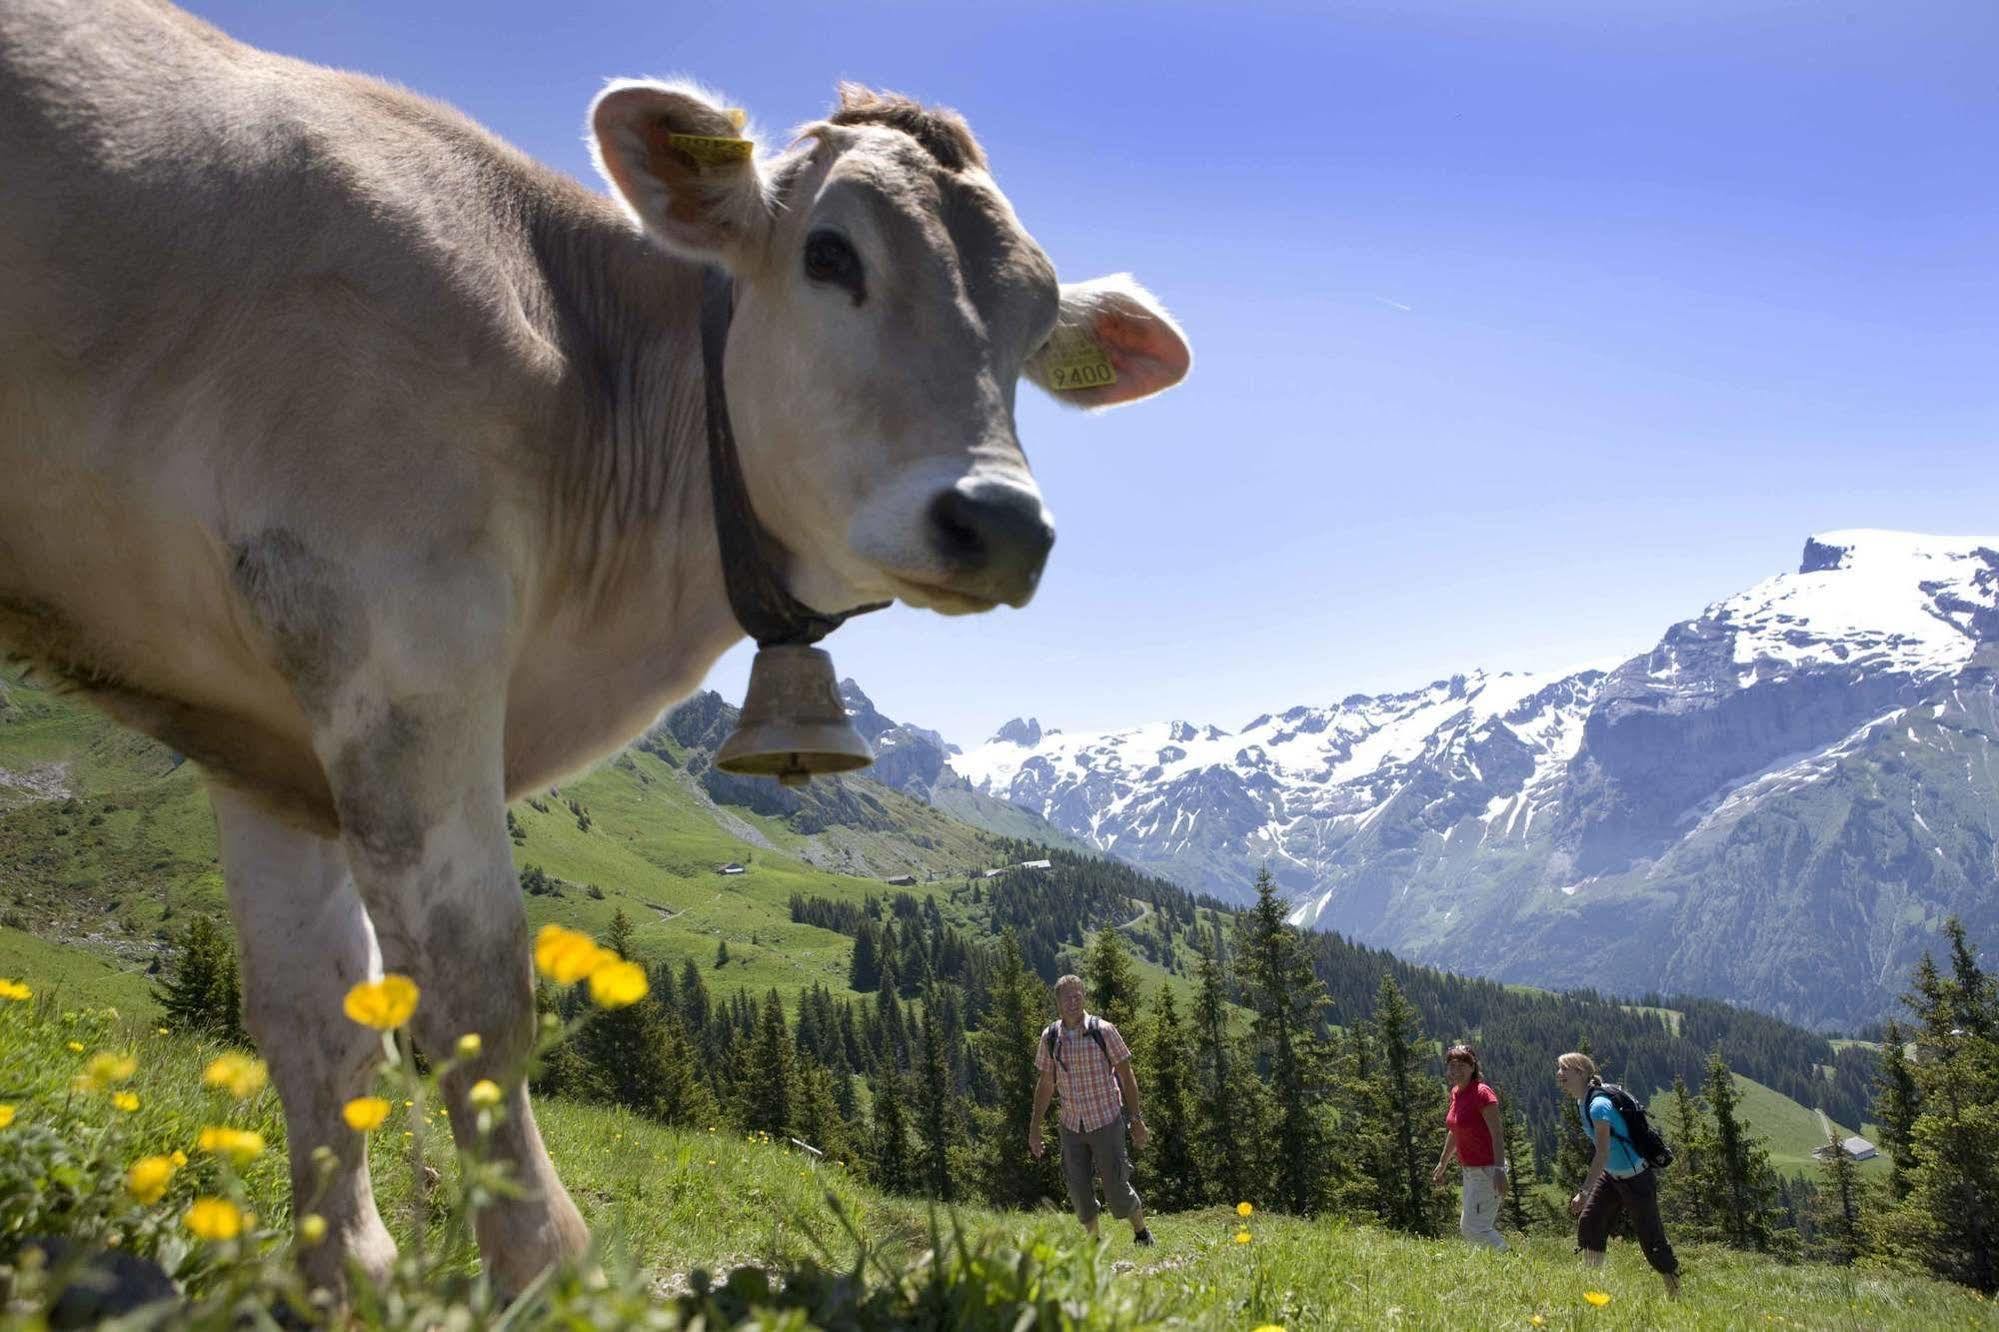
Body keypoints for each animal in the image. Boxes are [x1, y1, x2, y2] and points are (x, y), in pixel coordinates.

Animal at [0, 0, 1183, 1296]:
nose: (1003, 523)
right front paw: (541, 1269)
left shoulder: (265, 741)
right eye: (830, 256)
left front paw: (343, 1277)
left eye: (1033, 321)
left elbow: (318, 1025)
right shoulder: (396, 624)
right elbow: (472, 989)